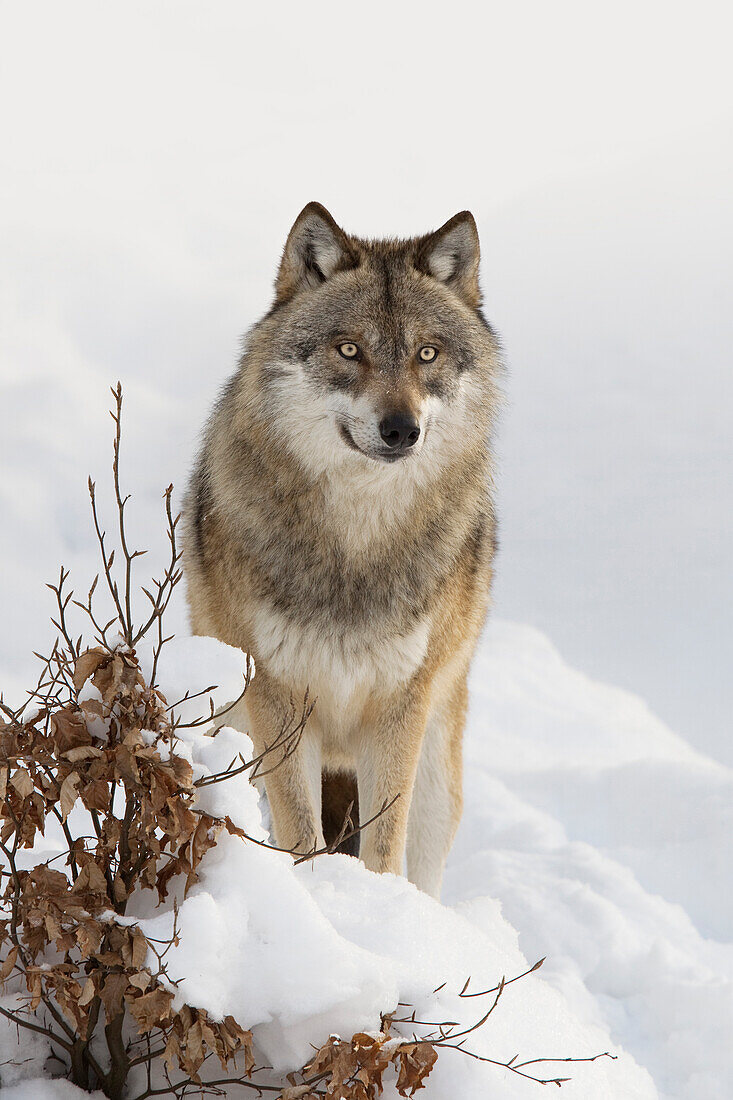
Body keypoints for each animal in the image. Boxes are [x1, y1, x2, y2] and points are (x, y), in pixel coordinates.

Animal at [186, 202, 499, 897]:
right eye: (349, 350)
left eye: (427, 354)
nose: (402, 429)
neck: (356, 541)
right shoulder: (277, 695)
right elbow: (302, 835)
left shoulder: (400, 705)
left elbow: (383, 844)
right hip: (228, 732)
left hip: (437, 778)